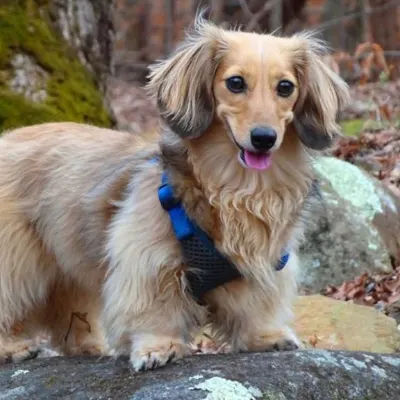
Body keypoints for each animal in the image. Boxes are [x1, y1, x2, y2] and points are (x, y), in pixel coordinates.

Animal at [0, 17, 346, 370]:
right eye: (235, 83)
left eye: (285, 87)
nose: (264, 138)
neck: (239, 187)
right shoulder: (148, 258)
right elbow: (156, 308)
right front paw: (158, 346)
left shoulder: (260, 261)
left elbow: (256, 304)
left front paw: (265, 336)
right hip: (15, 258)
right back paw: (12, 348)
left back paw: (88, 346)